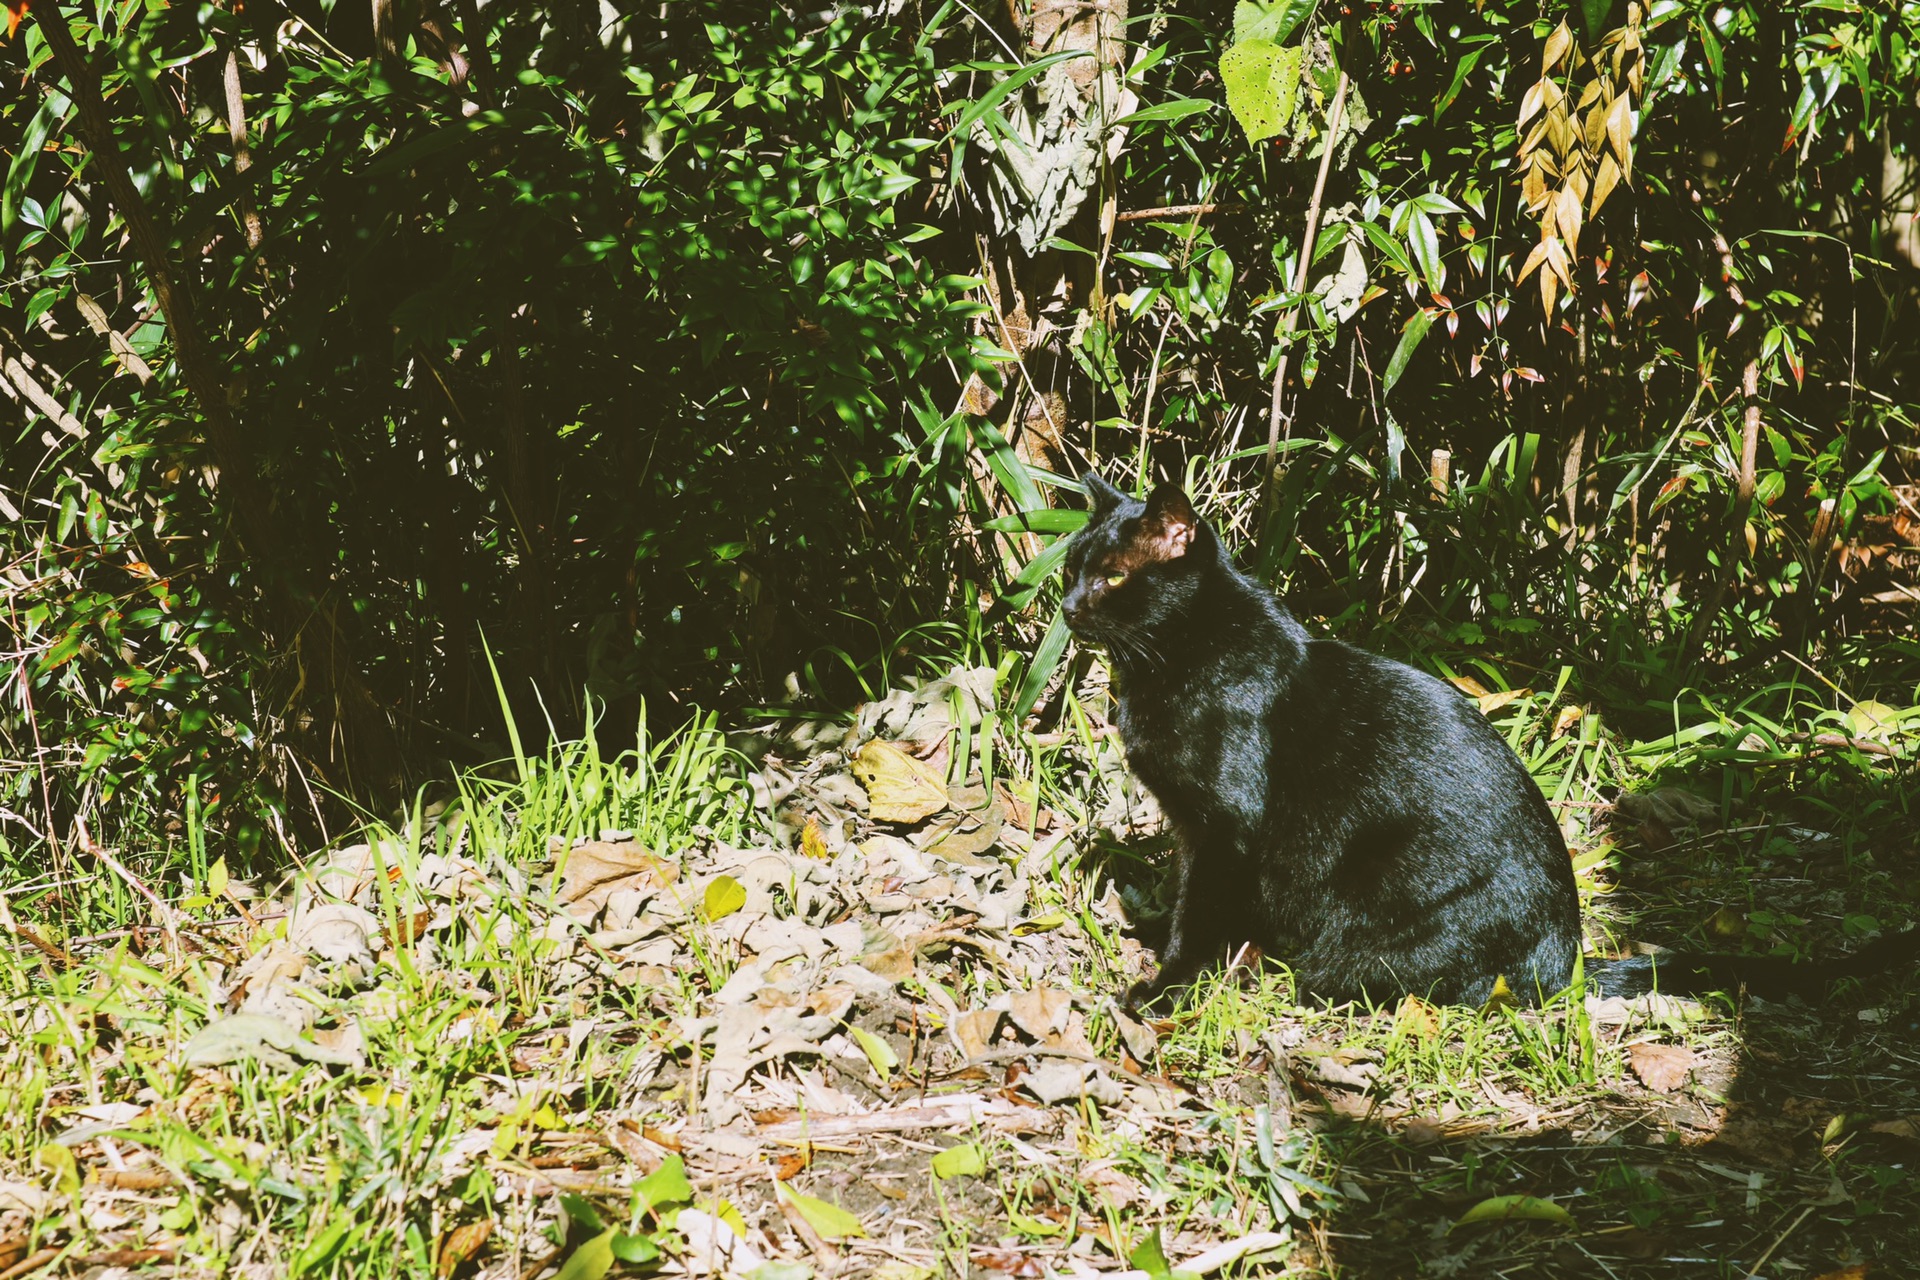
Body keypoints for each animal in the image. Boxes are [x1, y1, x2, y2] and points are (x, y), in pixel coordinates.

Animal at [1059, 475, 1912, 1013]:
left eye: (1112, 577)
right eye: (1070, 566)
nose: (1066, 605)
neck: (1177, 662)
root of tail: (1568, 962)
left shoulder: (1225, 829)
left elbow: (1199, 913)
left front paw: (1164, 990)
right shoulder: (1191, 829)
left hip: (1371, 927)